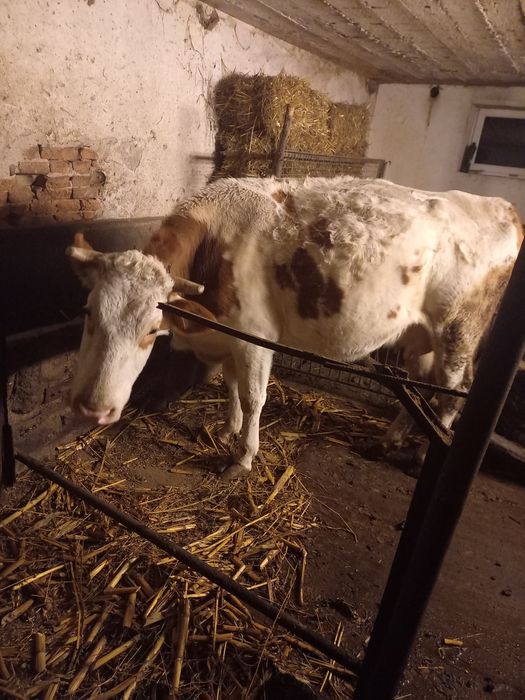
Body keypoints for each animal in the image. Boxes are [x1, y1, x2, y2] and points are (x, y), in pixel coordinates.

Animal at [67, 176, 522, 478]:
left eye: (150, 329)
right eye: (88, 313)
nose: (93, 409)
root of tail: (502, 207)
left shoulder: (255, 335)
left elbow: (253, 396)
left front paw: (242, 457)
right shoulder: (230, 334)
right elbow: (231, 385)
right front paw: (227, 430)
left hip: (457, 331)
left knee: (451, 394)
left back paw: (423, 458)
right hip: (418, 337)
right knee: (420, 387)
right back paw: (387, 441)